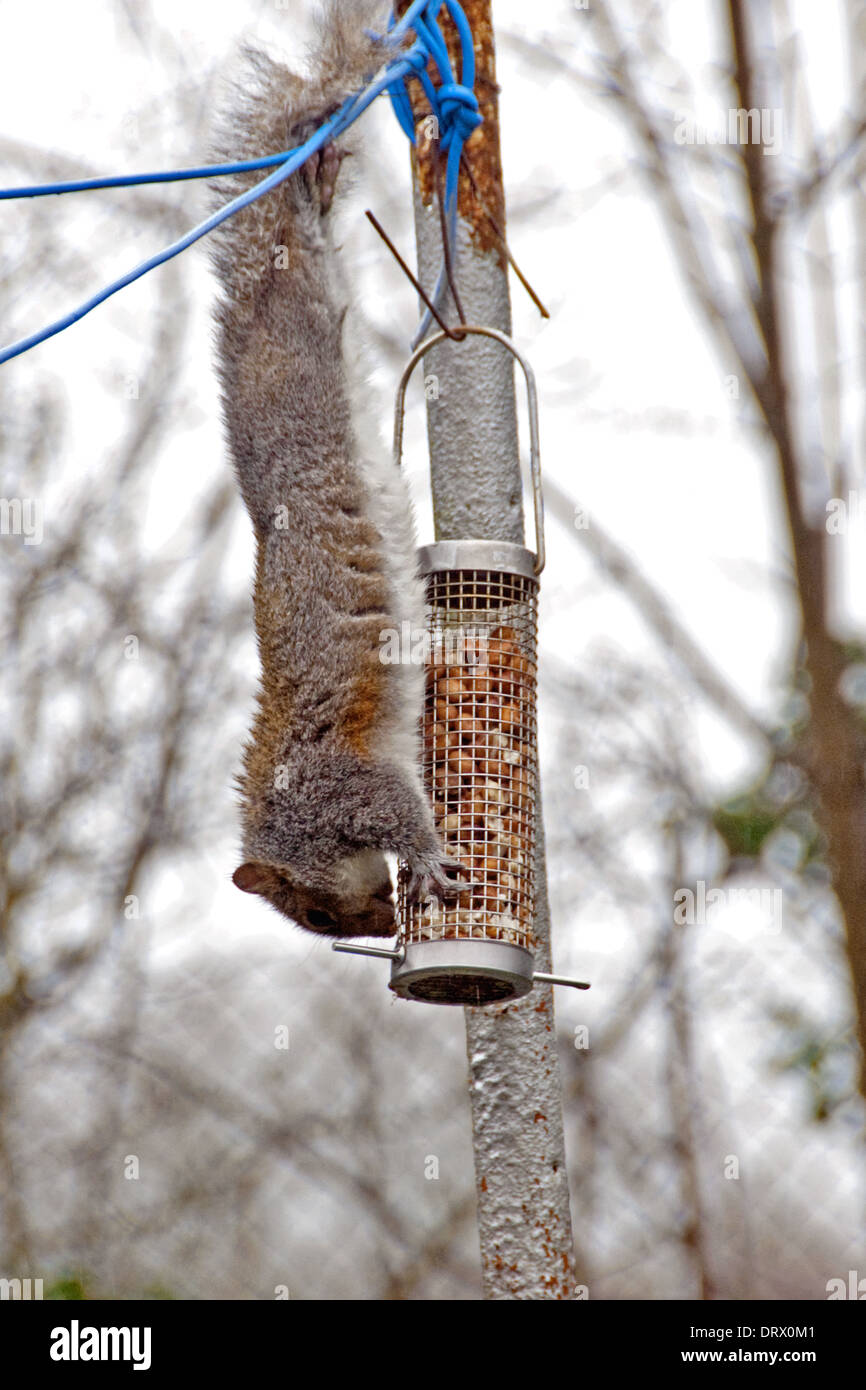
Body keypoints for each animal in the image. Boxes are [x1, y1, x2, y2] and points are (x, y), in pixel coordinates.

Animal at [209, 1, 471, 939]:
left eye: (316, 915)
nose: (383, 928)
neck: (287, 817)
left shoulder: (337, 787)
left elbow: (395, 804)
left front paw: (426, 860)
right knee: (311, 239)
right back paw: (315, 181)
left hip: (304, 346)